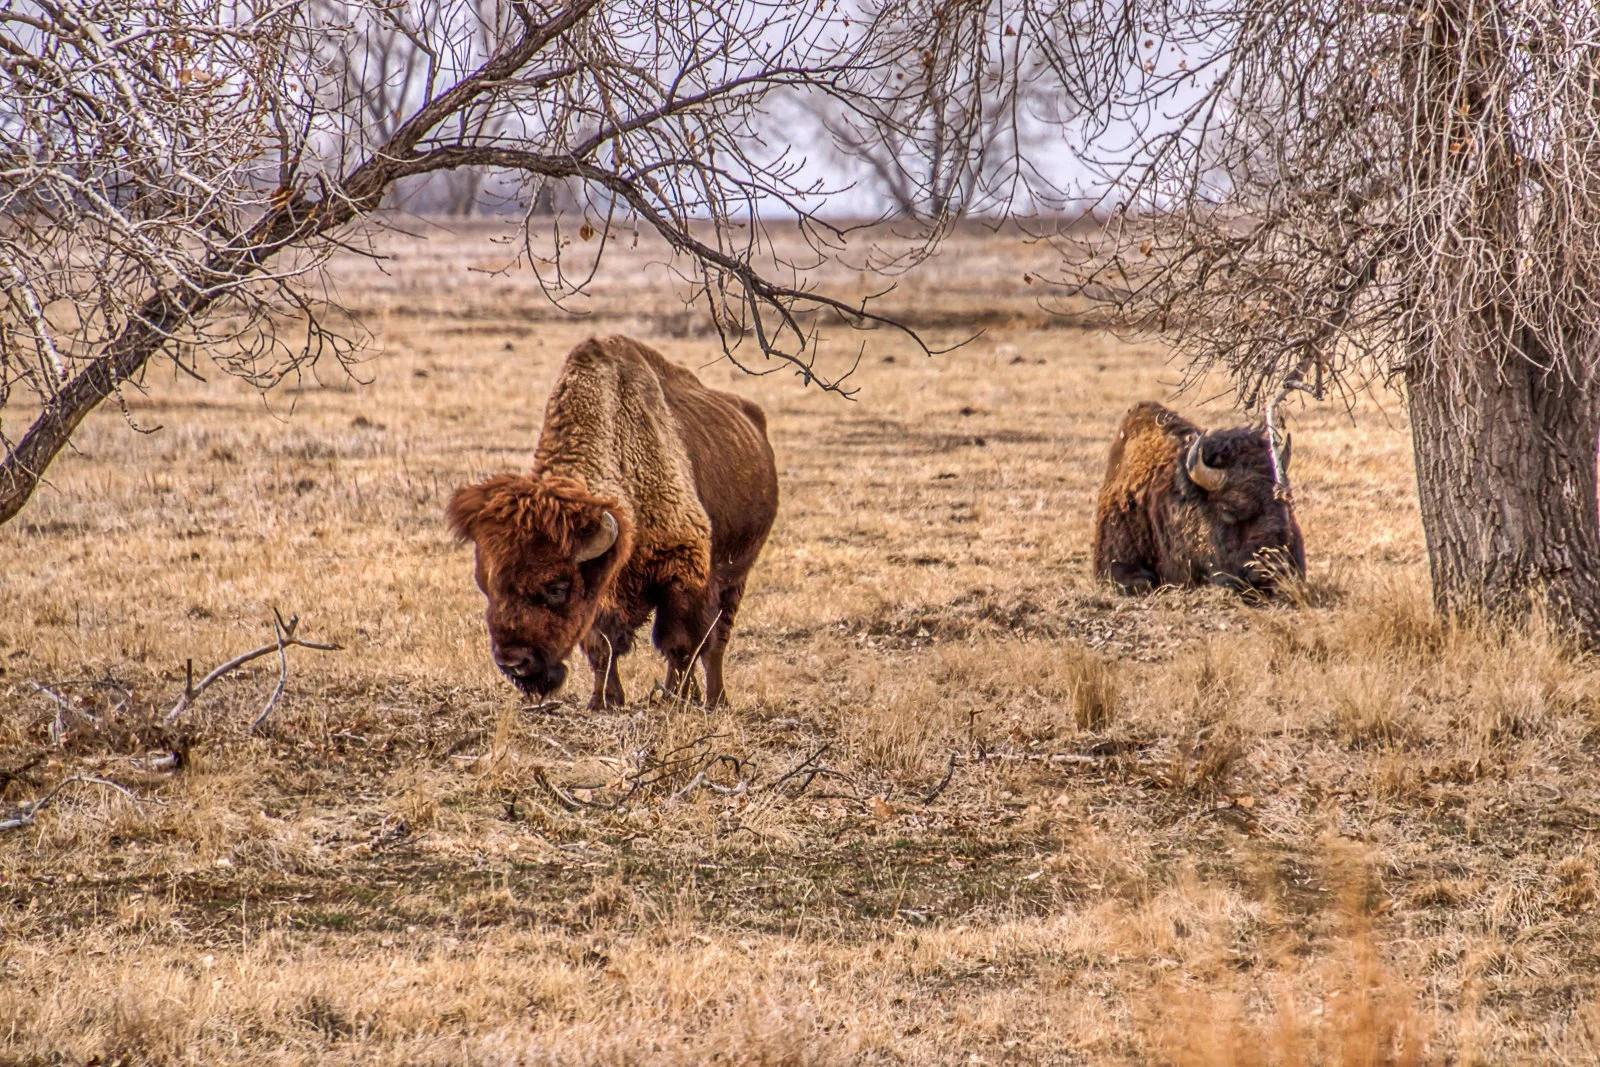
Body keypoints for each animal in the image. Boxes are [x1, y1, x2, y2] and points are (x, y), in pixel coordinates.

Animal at [447, 335, 778, 707]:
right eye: (484, 584)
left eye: (557, 588)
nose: (514, 662)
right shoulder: (603, 592)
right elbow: (602, 647)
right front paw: (605, 700)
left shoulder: (682, 574)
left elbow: (679, 644)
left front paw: (670, 698)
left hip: (736, 576)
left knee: (716, 641)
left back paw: (714, 699)